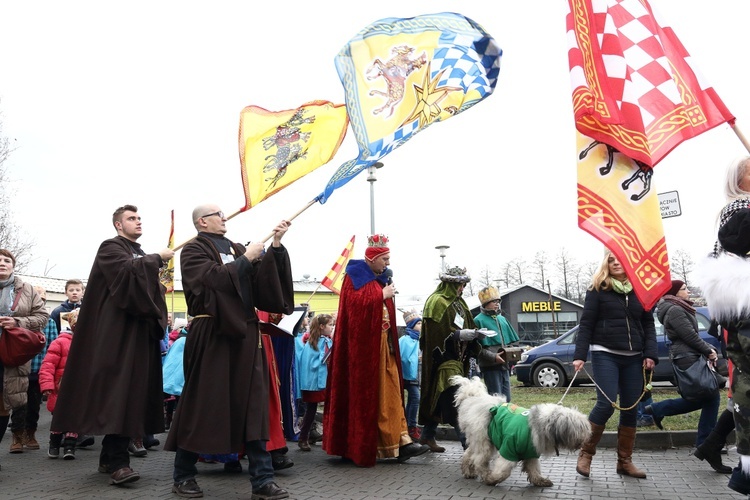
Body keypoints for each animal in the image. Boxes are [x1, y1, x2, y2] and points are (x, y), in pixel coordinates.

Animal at [452, 376, 592, 488]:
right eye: (580, 429)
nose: (586, 439)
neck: (544, 424)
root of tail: (473, 399)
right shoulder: (509, 450)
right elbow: (503, 471)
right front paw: (492, 479)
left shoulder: (531, 452)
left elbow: (534, 469)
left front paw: (540, 480)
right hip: (484, 441)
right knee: (479, 460)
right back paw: (486, 475)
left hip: (480, 439)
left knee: (469, 454)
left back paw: (468, 471)